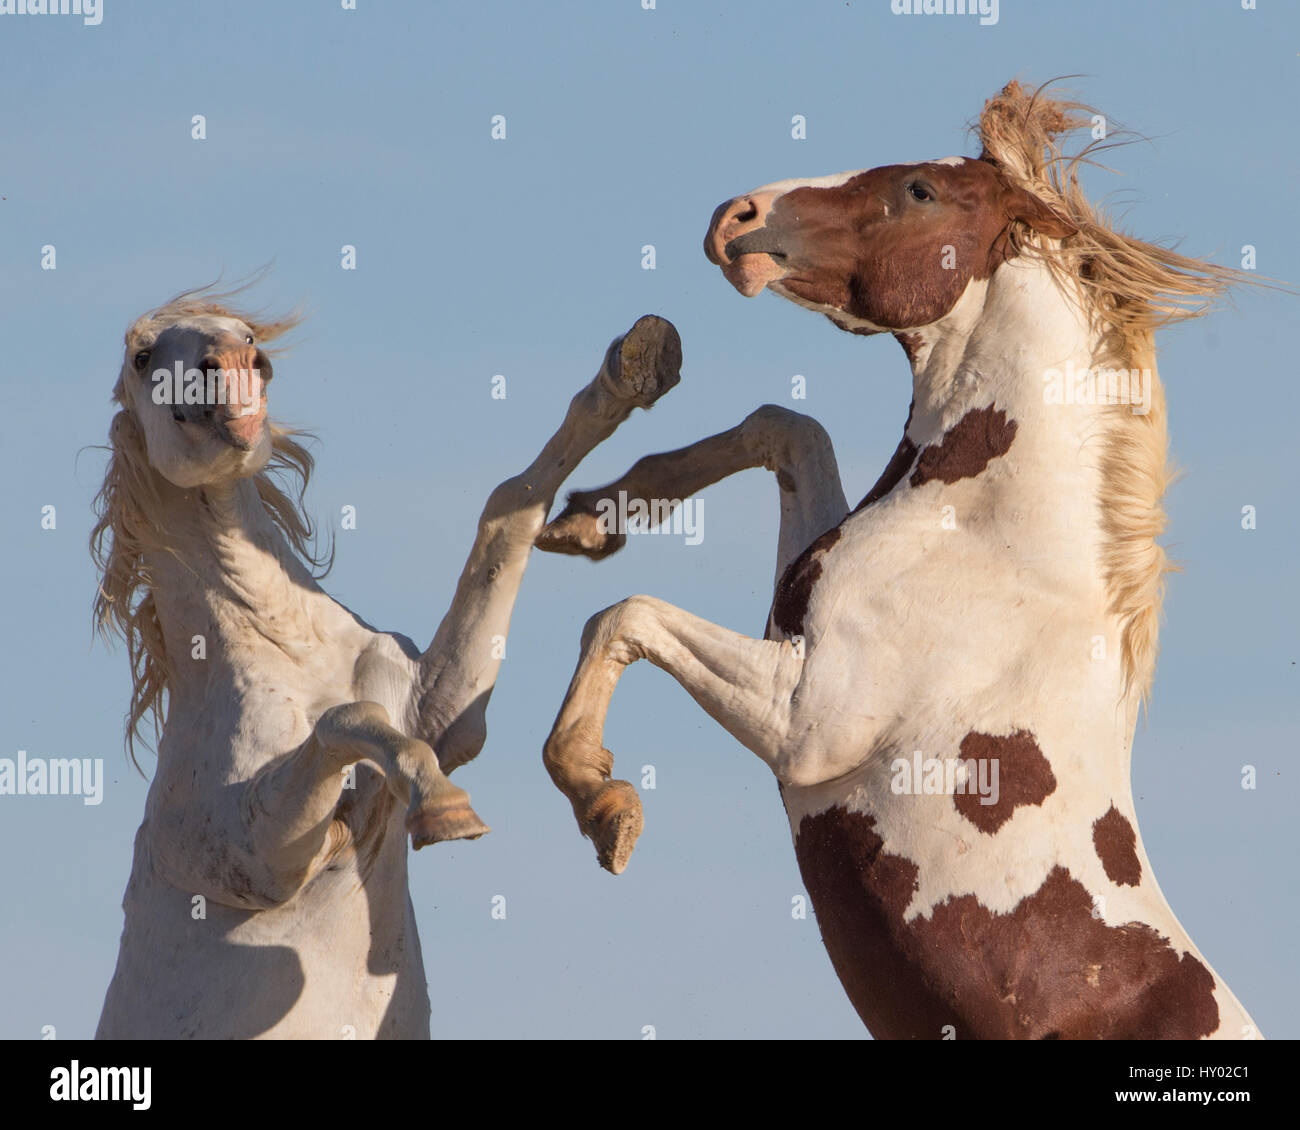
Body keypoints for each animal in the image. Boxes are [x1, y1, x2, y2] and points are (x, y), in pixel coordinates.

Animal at [91, 292, 681, 1040]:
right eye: (143, 358)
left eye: (245, 331)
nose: (232, 360)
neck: (290, 648)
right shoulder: (257, 854)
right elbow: (348, 720)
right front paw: (445, 811)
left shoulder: (444, 711)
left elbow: (508, 510)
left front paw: (631, 369)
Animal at [533, 81, 1263, 1040]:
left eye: (919, 190)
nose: (735, 218)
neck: (985, 541)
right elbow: (786, 426)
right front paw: (592, 516)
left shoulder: (806, 720)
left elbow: (626, 614)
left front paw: (605, 805)